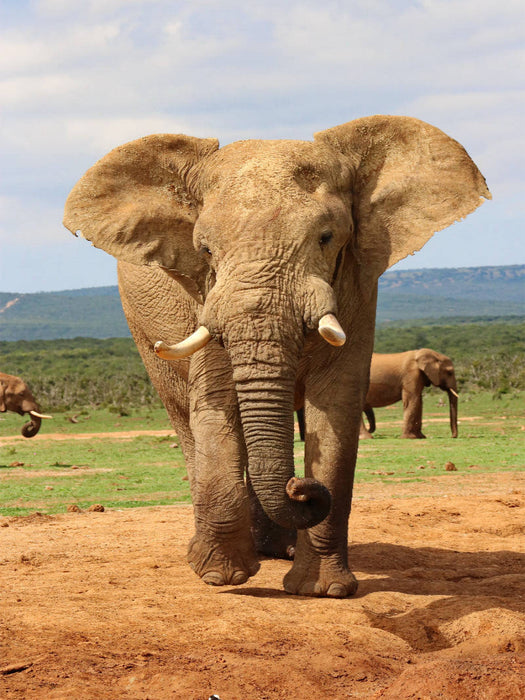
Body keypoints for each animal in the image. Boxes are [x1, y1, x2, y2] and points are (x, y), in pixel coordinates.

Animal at [64, 115, 489, 597]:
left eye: (326, 238)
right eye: (204, 249)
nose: (301, 489)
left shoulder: (357, 284)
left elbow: (336, 408)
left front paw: (323, 590)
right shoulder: (208, 296)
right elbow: (215, 403)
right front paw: (222, 577)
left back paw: (276, 549)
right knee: (184, 420)